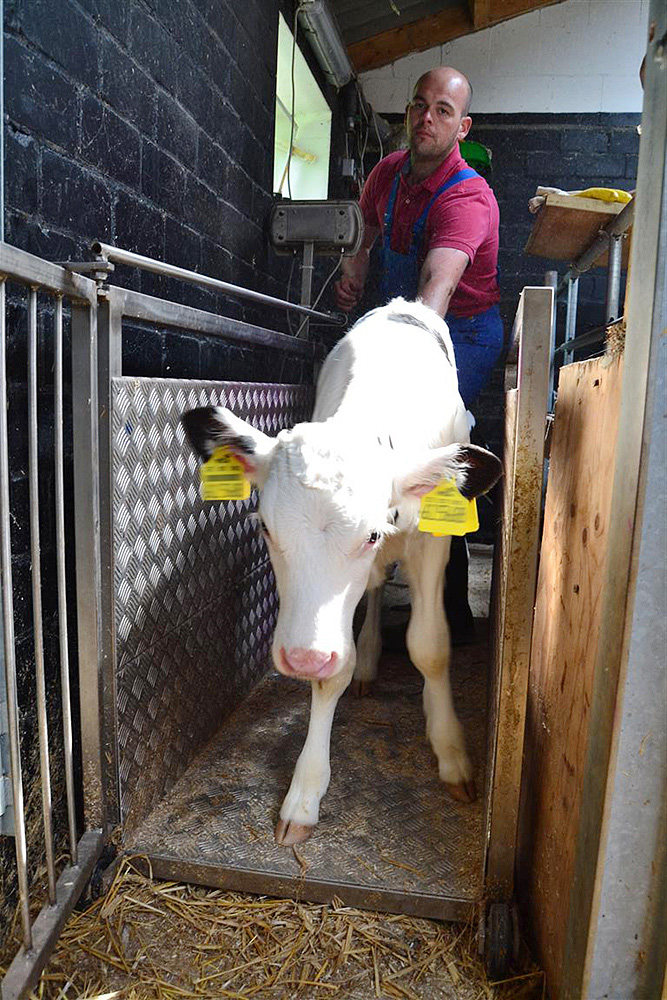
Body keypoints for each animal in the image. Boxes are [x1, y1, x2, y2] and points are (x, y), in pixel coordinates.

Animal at [183, 294, 500, 844]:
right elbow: (336, 670)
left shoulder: (430, 544)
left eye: (371, 534)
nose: (303, 658)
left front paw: (451, 752)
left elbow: (430, 648)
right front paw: (306, 791)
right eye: (265, 528)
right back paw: (370, 659)